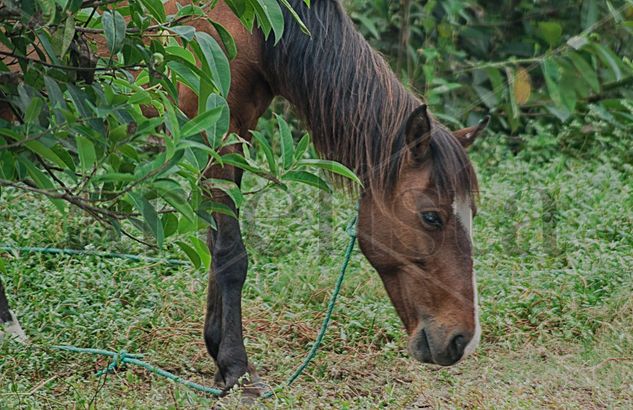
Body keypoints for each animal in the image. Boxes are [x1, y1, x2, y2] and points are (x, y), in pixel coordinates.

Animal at [0, 0, 488, 396]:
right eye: (431, 217)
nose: (462, 340)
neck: (251, 27)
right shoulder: (212, 135)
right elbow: (233, 255)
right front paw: (238, 370)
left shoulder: (235, 134)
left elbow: (220, 247)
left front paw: (218, 350)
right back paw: (11, 330)